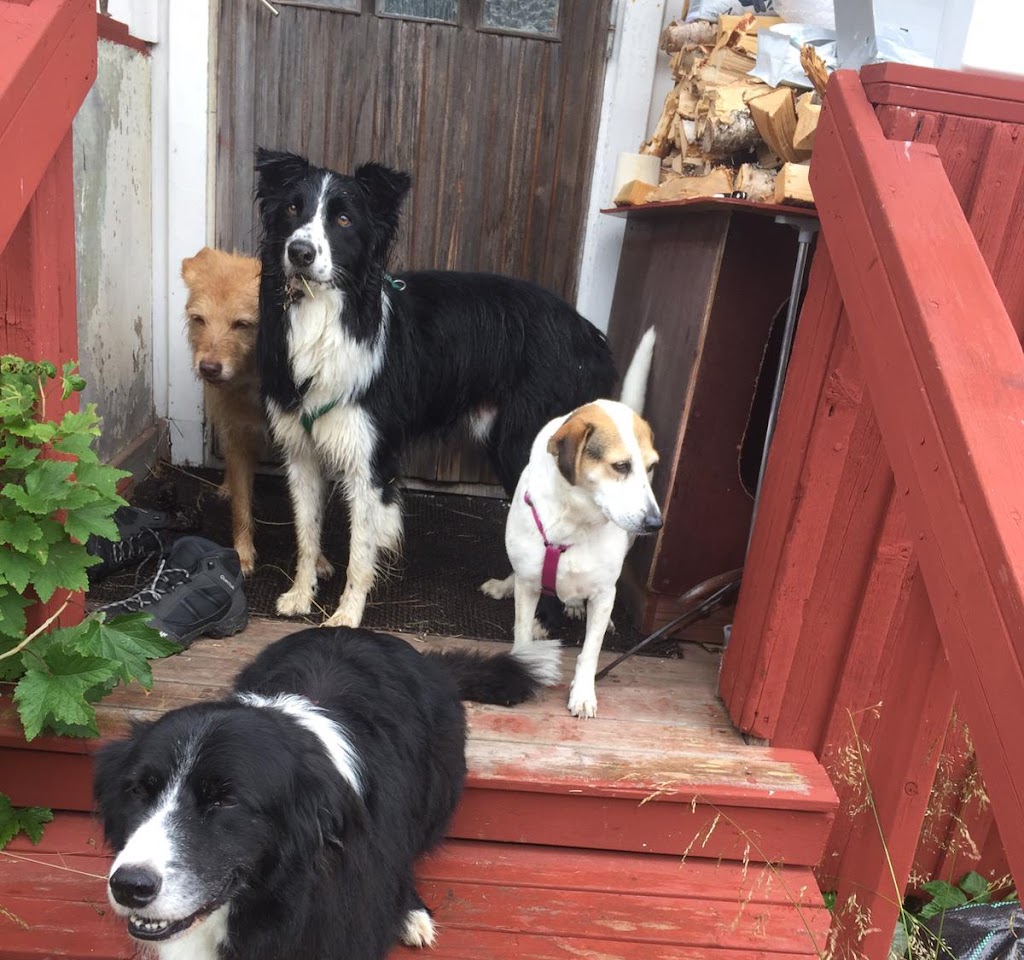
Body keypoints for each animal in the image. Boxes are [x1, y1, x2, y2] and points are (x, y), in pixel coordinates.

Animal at [182, 248, 264, 575]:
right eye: (199, 319)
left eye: (242, 324)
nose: (208, 368)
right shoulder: (238, 435)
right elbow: (241, 506)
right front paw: (241, 554)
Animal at [253, 148, 623, 629]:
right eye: (292, 209)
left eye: (344, 219)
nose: (299, 252)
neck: (329, 313)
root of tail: (591, 335)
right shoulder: (300, 450)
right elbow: (306, 530)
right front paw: (301, 594)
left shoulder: (372, 460)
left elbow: (361, 549)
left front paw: (347, 616)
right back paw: (512, 587)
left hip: (527, 442)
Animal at [482, 329, 660, 718]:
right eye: (621, 466)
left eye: (652, 466)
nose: (656, 523)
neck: (574, 521)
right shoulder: (530, 585)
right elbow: (521, 633)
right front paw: (519, 674)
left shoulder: (604, 591)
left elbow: (590, 652)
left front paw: (583, 693)